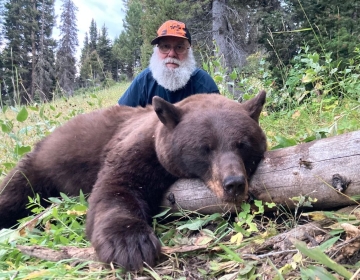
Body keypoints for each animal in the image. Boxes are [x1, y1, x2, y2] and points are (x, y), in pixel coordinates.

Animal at [0, 91, 264, 270]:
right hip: (38, 167)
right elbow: (116, 188)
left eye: (242, 144)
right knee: (14, 191)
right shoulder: (136, 148)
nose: (234, 183)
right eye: (205, 148)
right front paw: (130, 243)